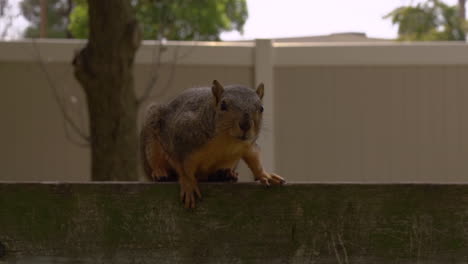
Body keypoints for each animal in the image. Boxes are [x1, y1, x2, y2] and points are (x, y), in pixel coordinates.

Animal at [139, 79, 286, 207]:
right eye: (223, 105)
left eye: (261, 108)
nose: (245, 125)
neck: (227, 140)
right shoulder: (182, 140)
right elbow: (183, 167)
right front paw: (188, 183)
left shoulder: (248, 144)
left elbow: (254, 158)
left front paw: (265, 175)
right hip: (151, 140)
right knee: (155, 160)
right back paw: (159, 172)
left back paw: (226, 174)